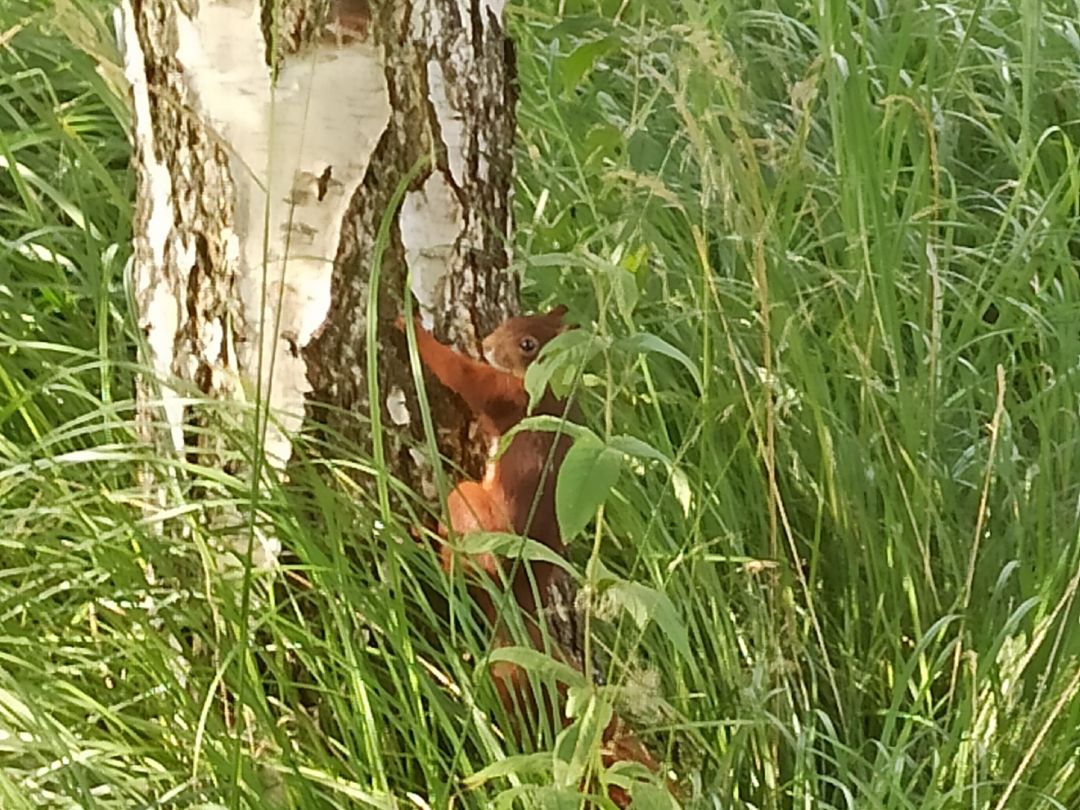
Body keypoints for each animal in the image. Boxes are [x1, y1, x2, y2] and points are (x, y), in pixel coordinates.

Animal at [397, 306, 665, 807]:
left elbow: (459, 373)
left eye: (527, 344)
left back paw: (422, 541)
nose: (486, 342)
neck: (551, 383)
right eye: (516, 318)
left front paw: (410, 327)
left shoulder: (505, 394)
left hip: (472, 511)